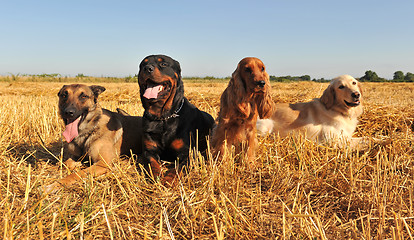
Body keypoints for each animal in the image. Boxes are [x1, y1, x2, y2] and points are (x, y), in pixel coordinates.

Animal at [139, 54, 215, 186]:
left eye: (163, 64)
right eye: (143, 64)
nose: (147, 68)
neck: (163, 117)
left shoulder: (188, 153)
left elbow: (178, 167)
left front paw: (169, 179)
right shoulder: (149, 151)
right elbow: (152, 163)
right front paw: (156, 175)